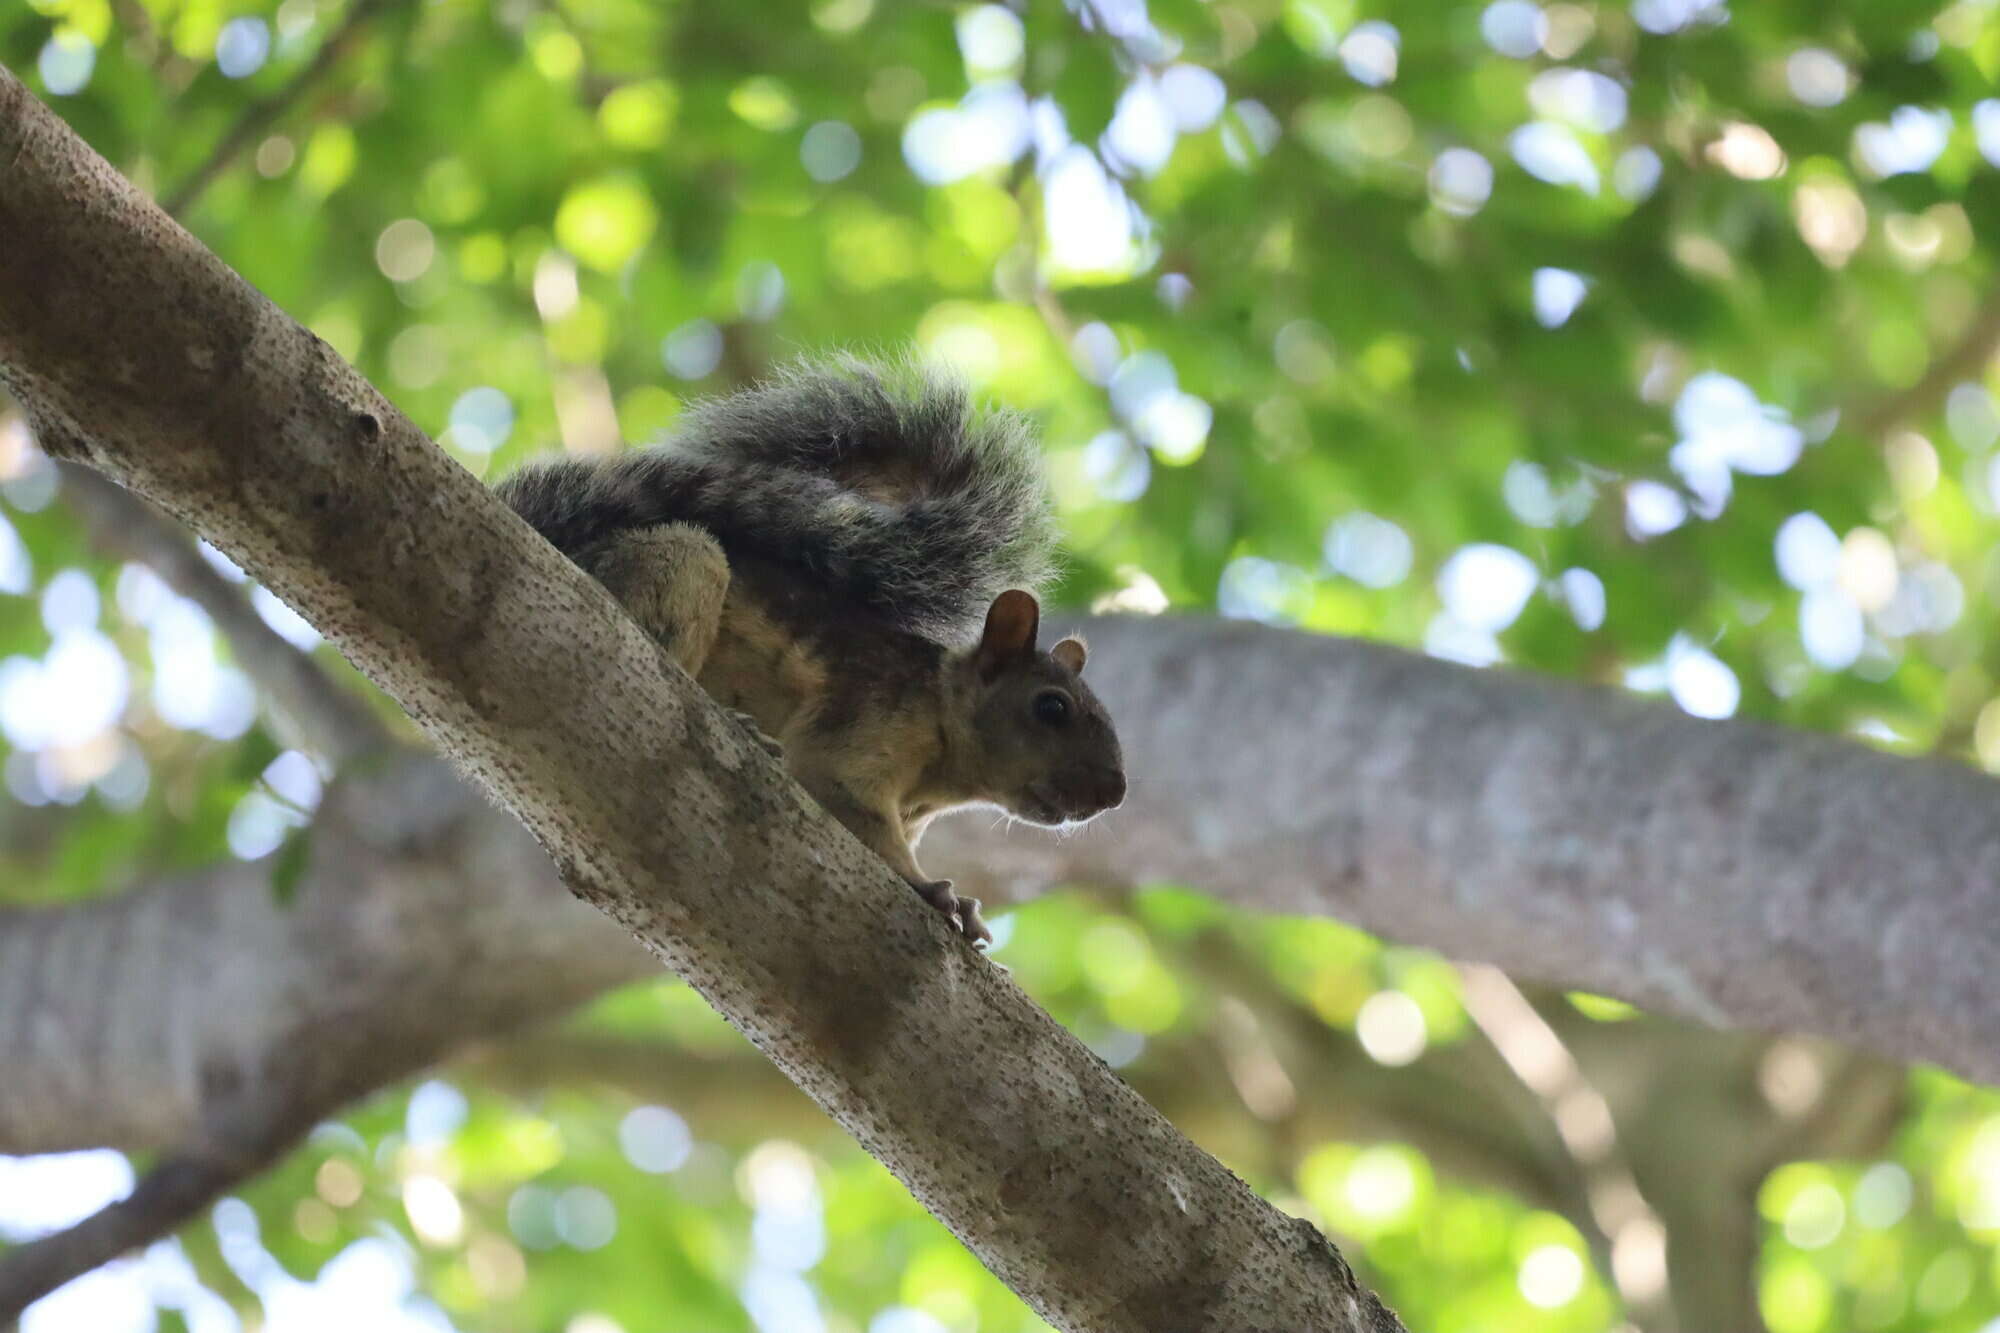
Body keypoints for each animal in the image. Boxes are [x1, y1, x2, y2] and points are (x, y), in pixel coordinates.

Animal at [498, 352, 1128, 932]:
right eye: (1051, 706)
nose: (1114, 794)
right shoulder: (866, 720)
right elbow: (845, 797)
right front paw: (930, 888)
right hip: (678, 568)